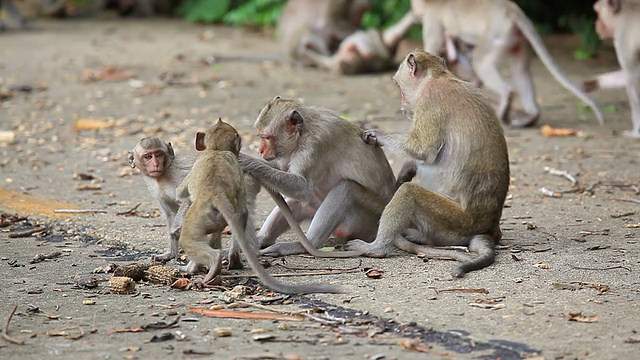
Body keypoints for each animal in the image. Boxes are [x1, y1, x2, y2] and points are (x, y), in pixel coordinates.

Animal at [172, 119, 342, 294]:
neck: (216, 150)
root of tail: (217, 196)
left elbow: (180, 193)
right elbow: (242, 211)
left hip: (197, 219)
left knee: (190, 239)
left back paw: (203, 267)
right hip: (215, 219)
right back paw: (228, 261)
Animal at [240, 97, 398, 258]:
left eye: (266, 137)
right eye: (260, 136)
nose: (260, 150)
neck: (303, 132)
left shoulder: (315, 145)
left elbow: (303, 188)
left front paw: (246, 160)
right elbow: (283, 170)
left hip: (367, 217)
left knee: (346, 188)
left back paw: (306, 244)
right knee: (295, 201)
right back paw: (262, 240)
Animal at [344, 49, 510, 278]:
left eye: (399, 86)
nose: (402, 106)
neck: (438, 76)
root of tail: (487, 229)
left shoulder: (429, 100)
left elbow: (423, 148)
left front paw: (377, 135)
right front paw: (407, 168)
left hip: (454, 222)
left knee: (409, 192)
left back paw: (376, 248)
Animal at [410, 0, 604, 129]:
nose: (414, 13)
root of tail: (512, 11)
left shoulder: (433, 18)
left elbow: (432, 48)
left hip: (497, 34)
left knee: (481, 61)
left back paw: (505, 103)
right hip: (517, 39)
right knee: (520, 71)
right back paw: (530, 117)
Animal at [580, 0, 640, 138]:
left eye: (597, 12)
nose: (596, 23)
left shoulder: (623, 37)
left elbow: (632, 76)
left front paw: (635, 132)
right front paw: (594, 83)